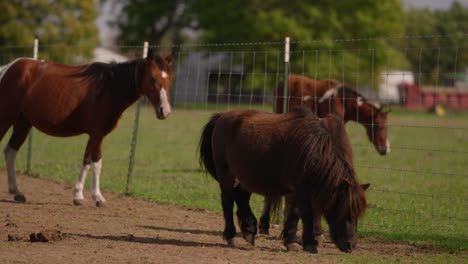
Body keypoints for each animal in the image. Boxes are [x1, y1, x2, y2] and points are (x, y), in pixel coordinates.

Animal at [0, 49, 174, 206]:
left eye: (170, 78)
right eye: (152, 78)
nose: (164, 111)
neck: (109, 88)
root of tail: (7, 68)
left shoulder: (96, 135)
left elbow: (88, 162)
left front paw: (79, 195)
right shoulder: (97, 134)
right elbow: (95, 164)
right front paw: (96, 197)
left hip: (23, 123)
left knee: (10, 152)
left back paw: (17, 192)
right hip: (6, 119)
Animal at [199, 108, 368, 254]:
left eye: (358, 213)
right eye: (342, 209)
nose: (350, 245)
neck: (311, 149)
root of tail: (222, 116)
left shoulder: (299, 189)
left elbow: (295, 213)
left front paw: (293, 241)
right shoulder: (300, 188)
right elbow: (302, 212)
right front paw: (306, 243)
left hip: (247, 176)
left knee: (241, 196)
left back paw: (249, 230)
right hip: (226, 173)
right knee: (227, 200)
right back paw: (230, 236)